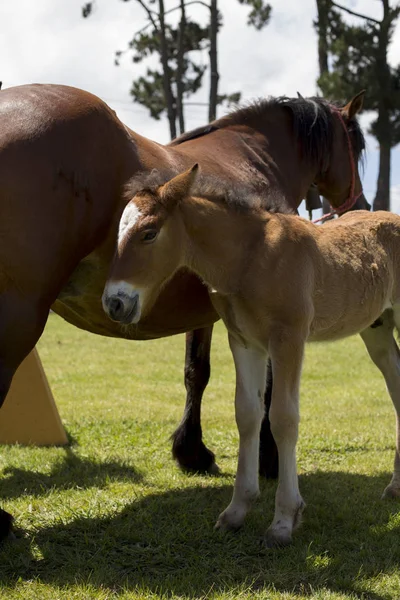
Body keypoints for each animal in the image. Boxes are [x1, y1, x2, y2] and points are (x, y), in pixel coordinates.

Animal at [0, 82, 368, 536]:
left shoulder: (214, 312)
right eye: (358, 144)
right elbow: (265, 391)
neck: (256, 157)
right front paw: (266, 459)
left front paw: (191, 451)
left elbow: (197, 373)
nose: (362, 203)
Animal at [104, 165, 400, 548]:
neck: (251, 257)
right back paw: (395, 486)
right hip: (377, 328)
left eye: (149, 233)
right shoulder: (244, 341)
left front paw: (284, 521)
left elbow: (283, 418)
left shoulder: (288, 338)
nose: (114, 302)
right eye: (117, 234)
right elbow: (247, 414)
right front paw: (236, 511)